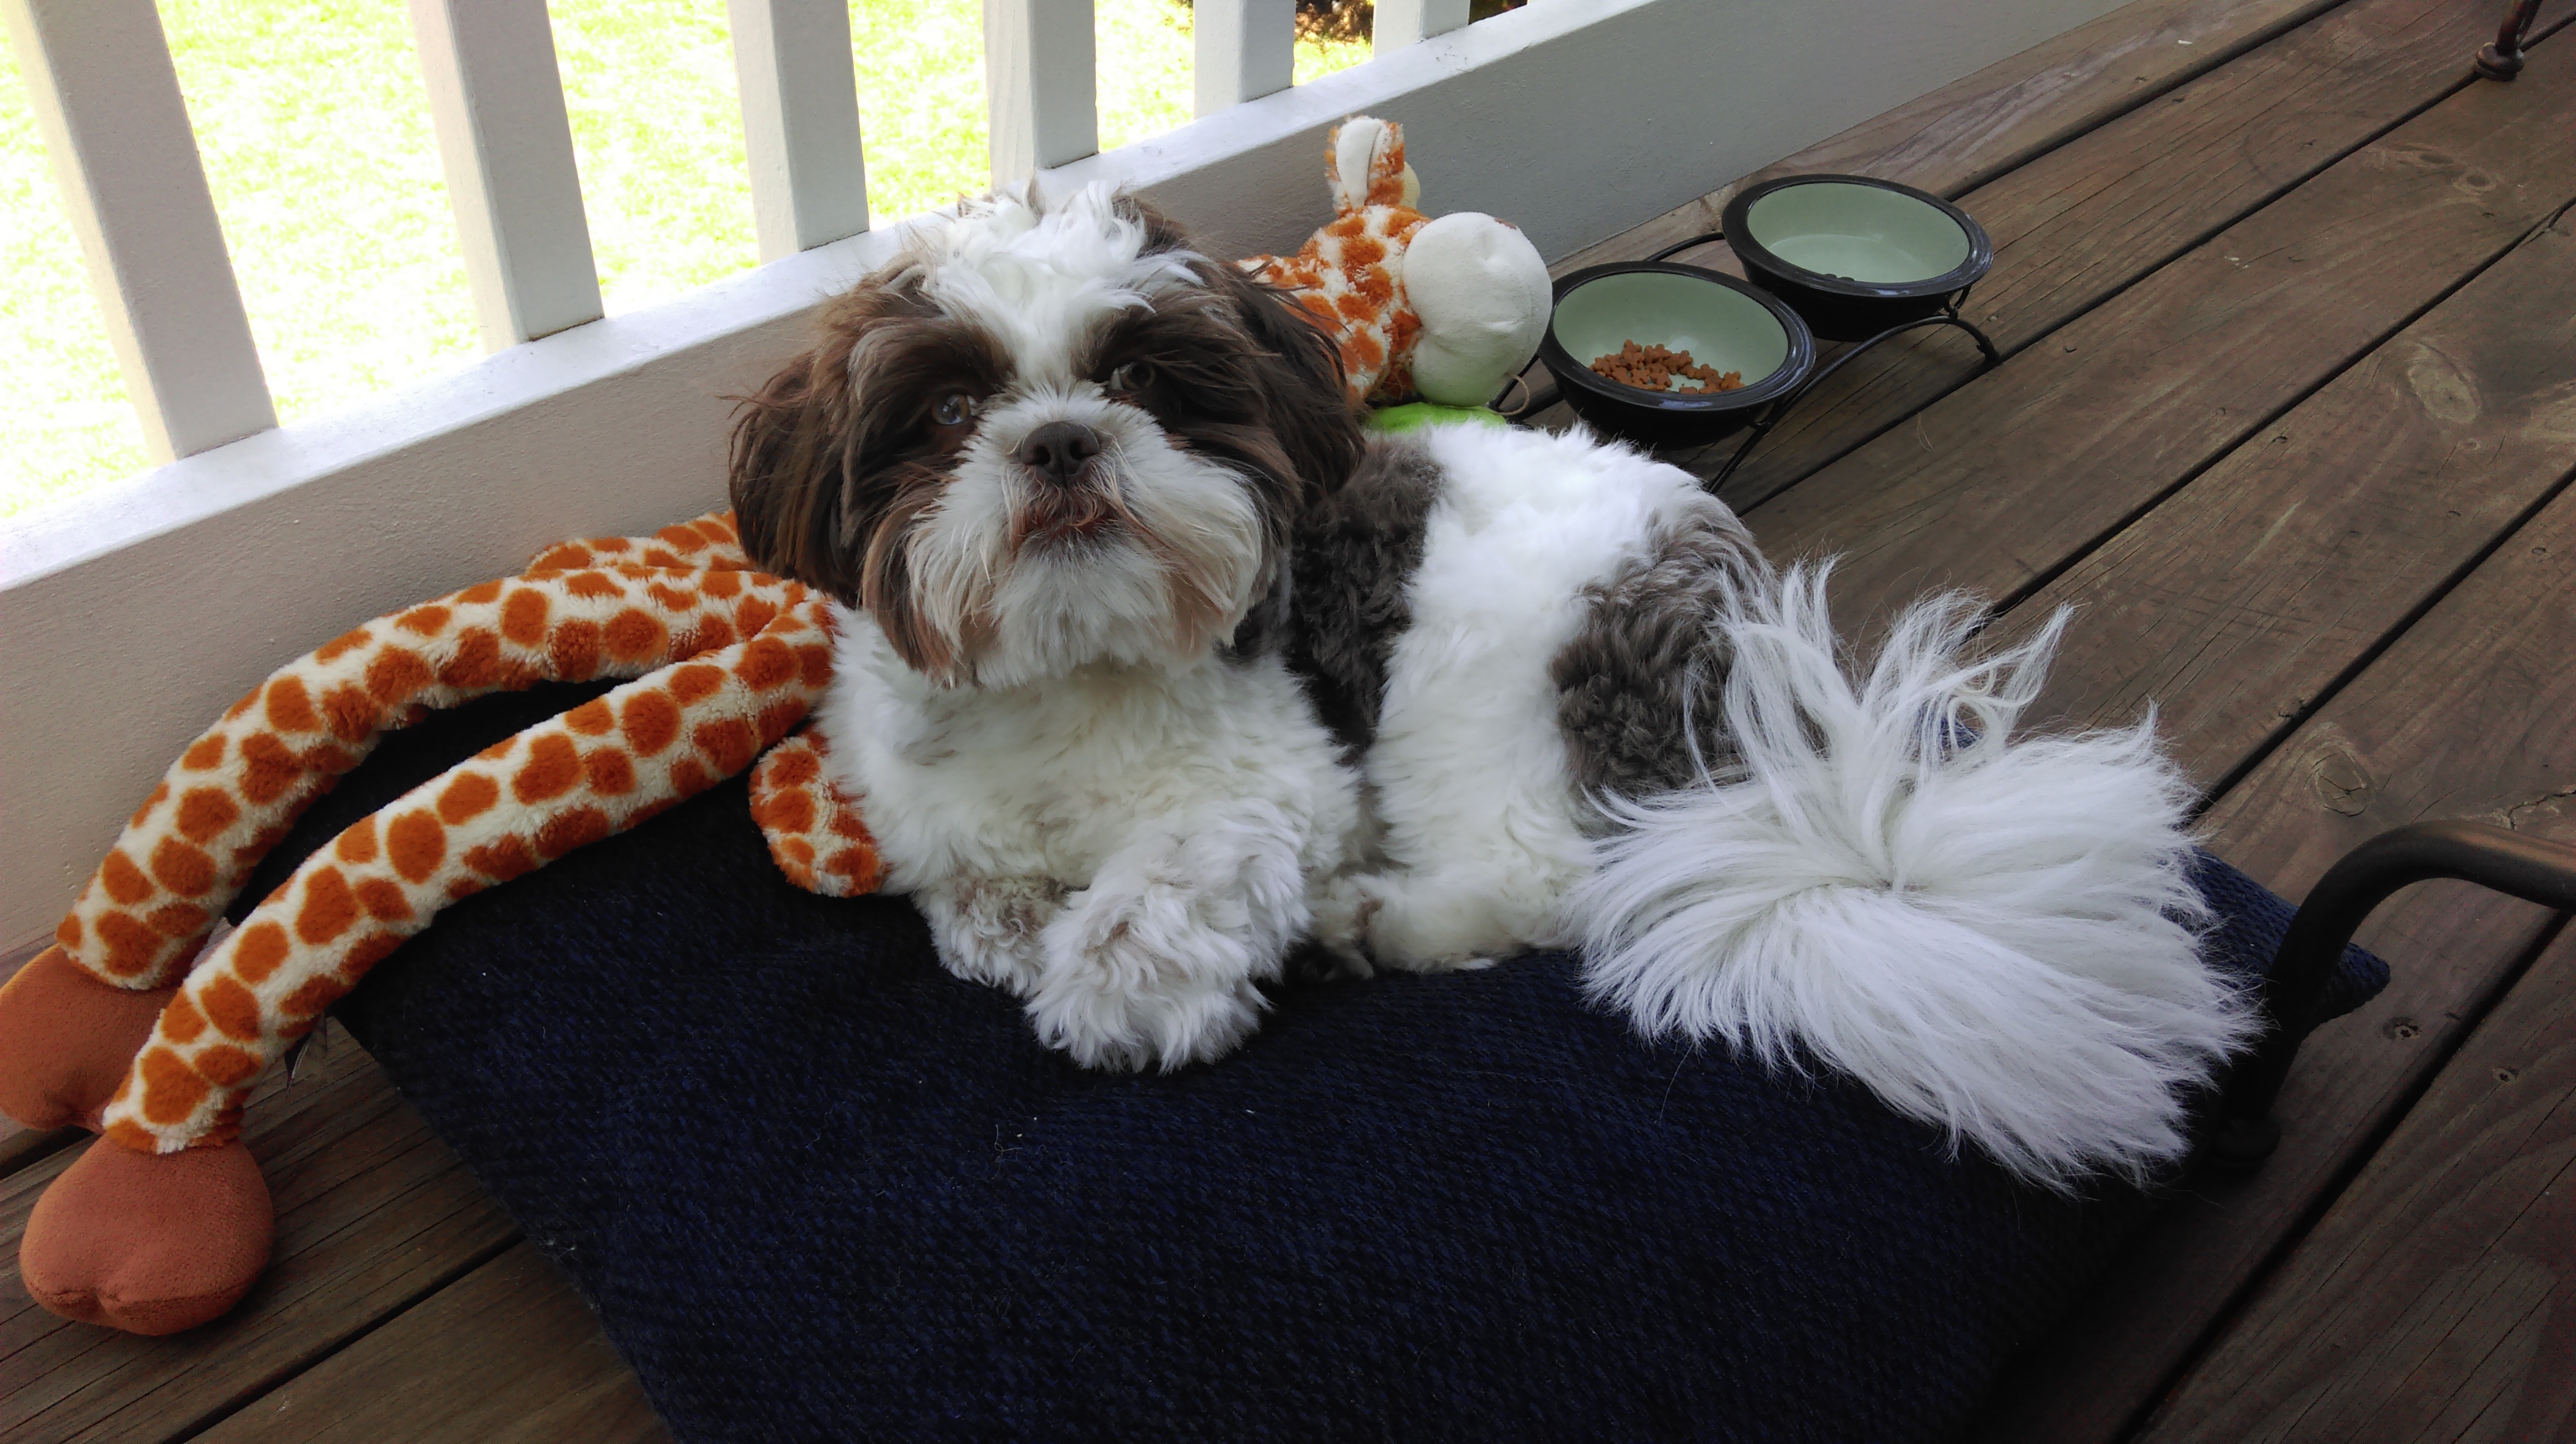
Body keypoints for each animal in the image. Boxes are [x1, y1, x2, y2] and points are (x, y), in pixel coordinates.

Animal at [731, 180, 2256, 1189]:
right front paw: (1002, 919)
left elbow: (1178, 872)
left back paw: (1371, 918)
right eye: (946, 412)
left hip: (1471, 688)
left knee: (1549, 878)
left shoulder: (1279, 781)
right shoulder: (923, 794)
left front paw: (1114, 981)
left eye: (1149, 382)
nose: (1058, 439)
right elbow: (960, 875)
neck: (1068, 670)